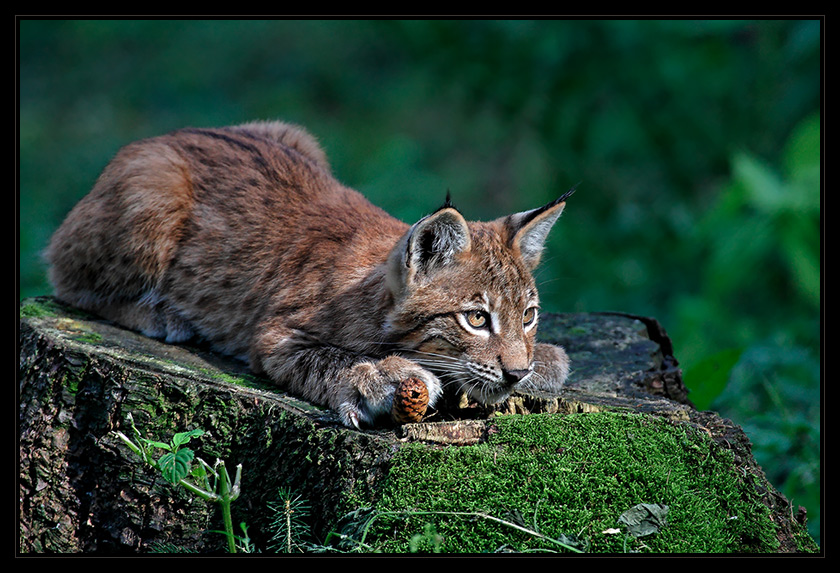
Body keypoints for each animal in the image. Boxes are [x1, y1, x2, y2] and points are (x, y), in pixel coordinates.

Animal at [46, 120, 572, 424]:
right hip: (153, 191)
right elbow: (330, 359)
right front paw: (380, 377)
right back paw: (159, 316)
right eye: (476, 319)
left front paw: (545, 360)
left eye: (528, 316)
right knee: (64, 277)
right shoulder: (272, 337)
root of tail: (170, 134)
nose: (516, 373)